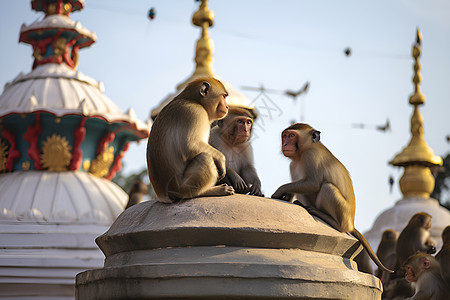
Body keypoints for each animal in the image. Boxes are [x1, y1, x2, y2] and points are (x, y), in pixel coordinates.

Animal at [270, 122, 394, 274]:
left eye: (292, 135)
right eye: (285, 136)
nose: (285, 143)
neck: (304, 151)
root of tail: (351, 223)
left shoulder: (311, 156)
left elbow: (313, 183)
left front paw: (280, 190)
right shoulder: (293, 165)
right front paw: (286, 196)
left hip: (343, 212)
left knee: (327, 187)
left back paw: (329, 219)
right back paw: (302, 204)